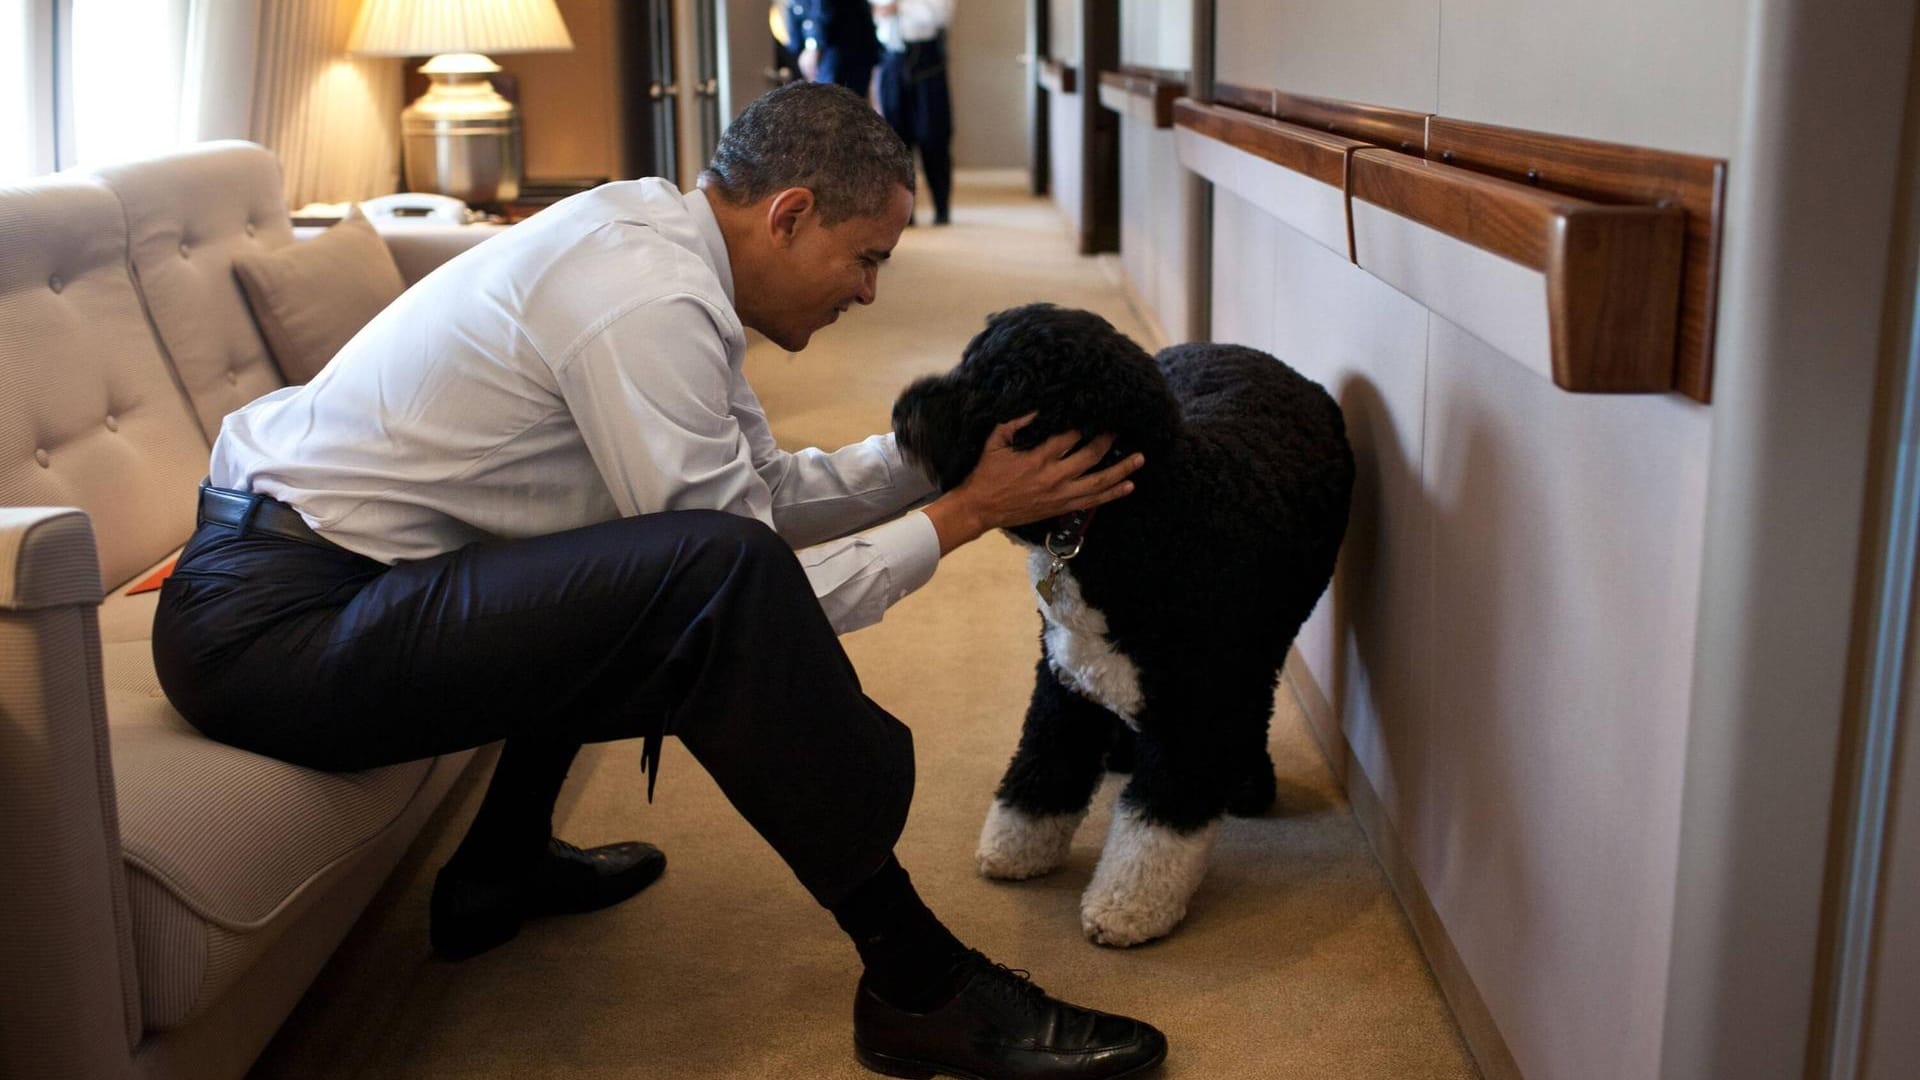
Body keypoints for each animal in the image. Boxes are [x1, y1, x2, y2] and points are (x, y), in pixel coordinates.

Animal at [894, 303, 1359, 941]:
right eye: (968, 359)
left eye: (1004, 385)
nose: (904, 409)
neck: (1145, 516)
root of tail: (1240, 350)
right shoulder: (1062, 678)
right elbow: (1042, 768)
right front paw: (1017, 848)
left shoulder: (1194, 706)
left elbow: (1157, 826)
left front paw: (1129, 905)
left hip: (1264, 640)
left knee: (1254, 704)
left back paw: (1244, 780)